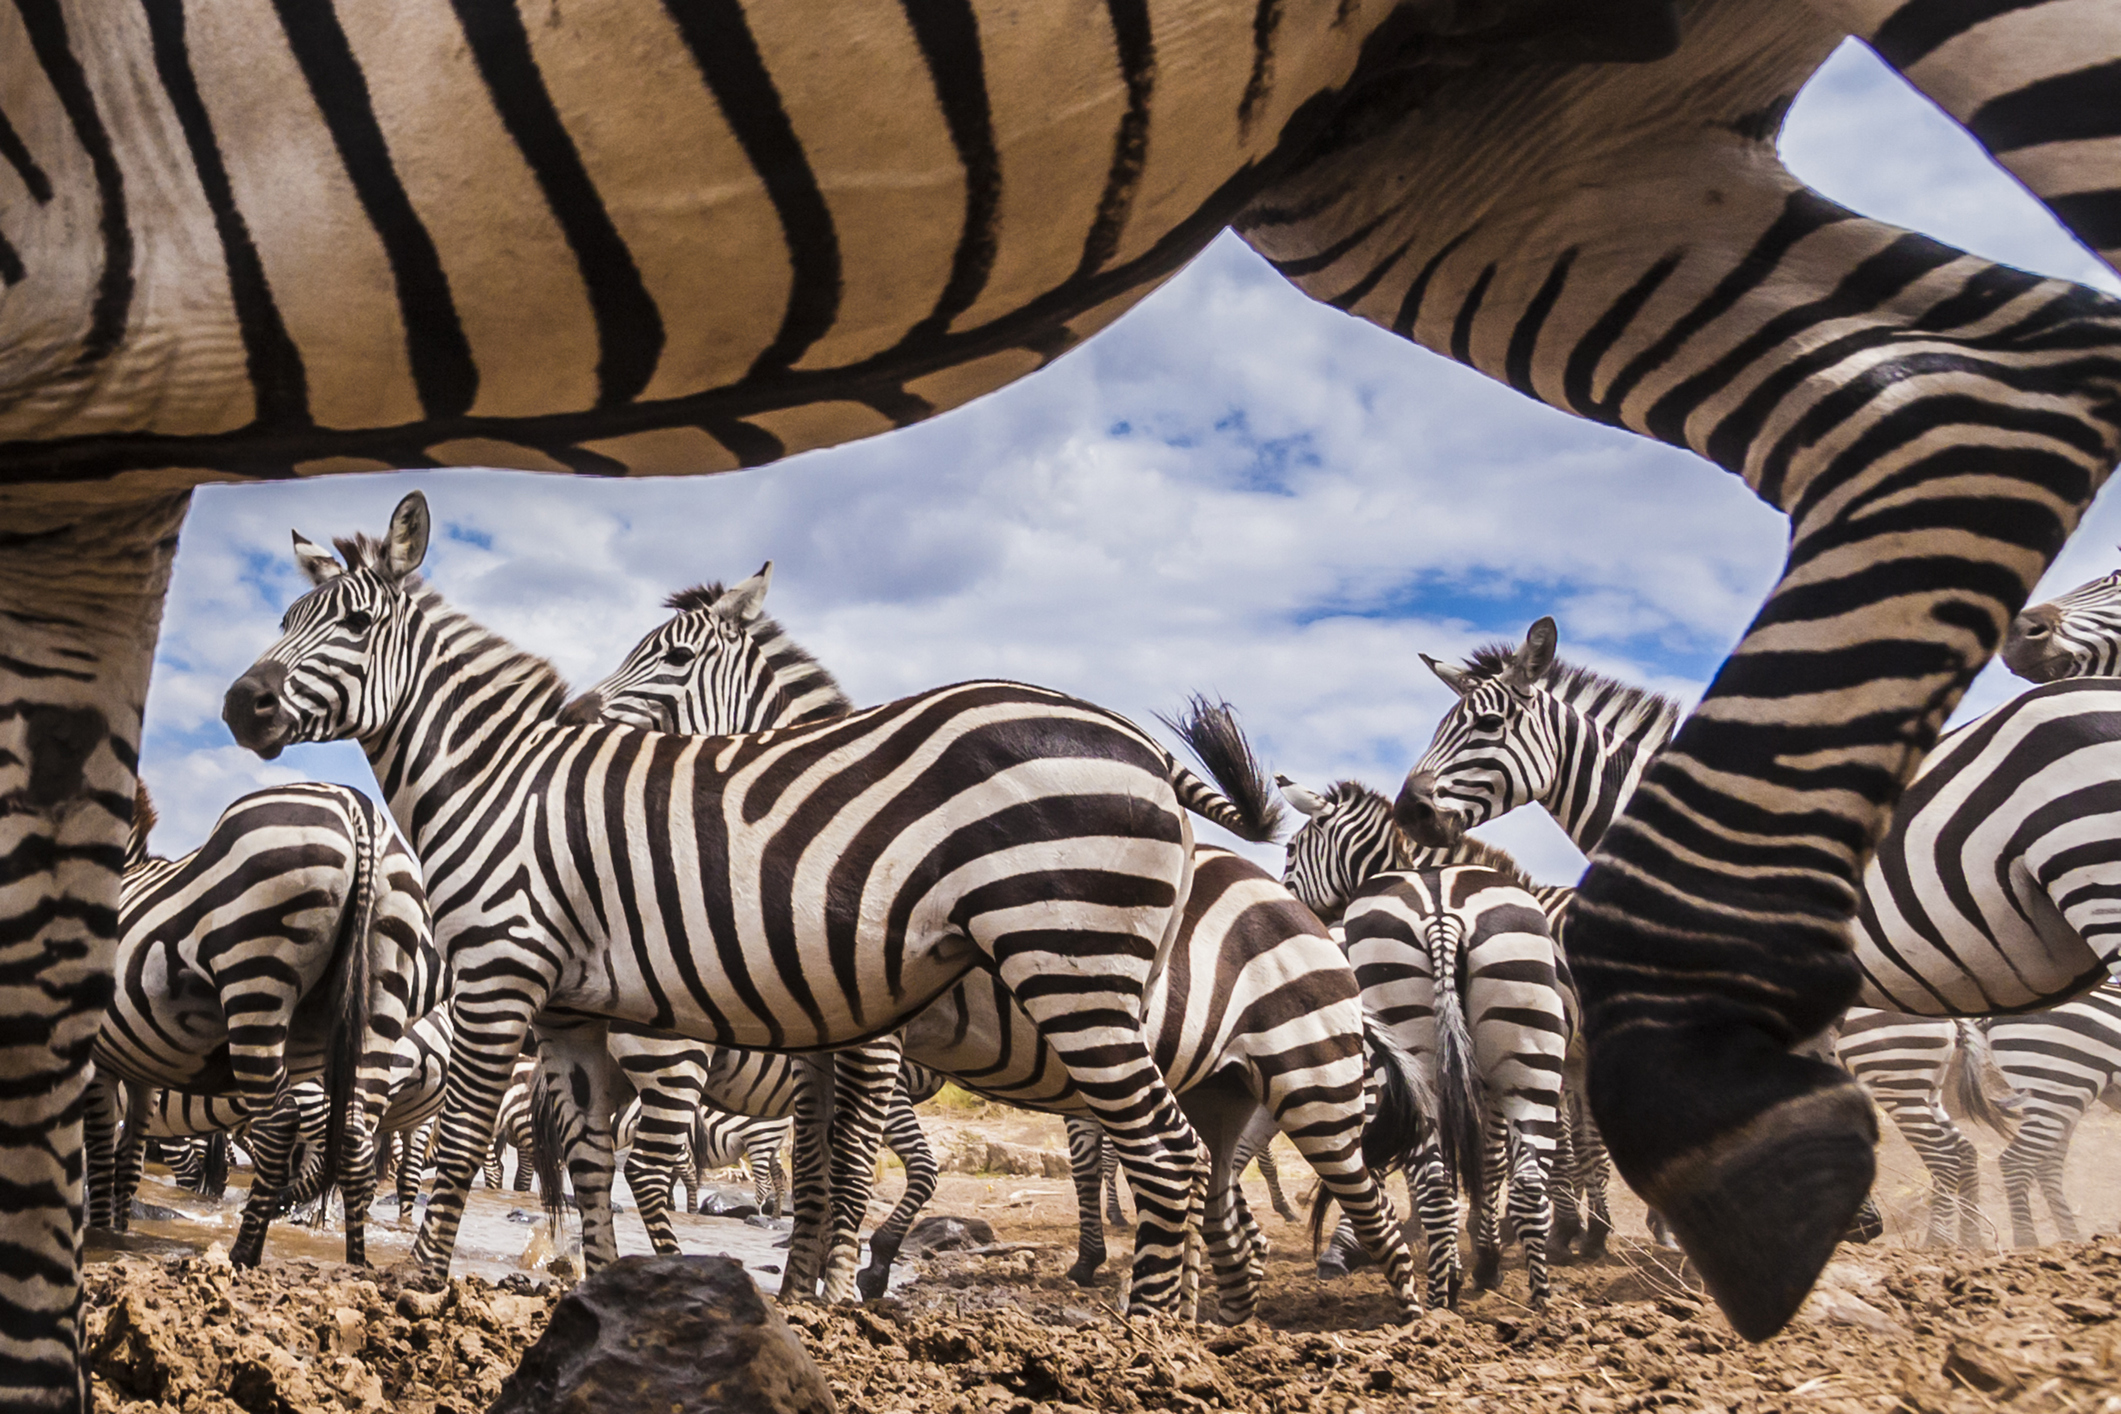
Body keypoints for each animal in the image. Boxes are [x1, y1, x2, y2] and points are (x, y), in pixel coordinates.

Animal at [91, 782, 439, 1266]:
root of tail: (360, 809)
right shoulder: (137, 1070)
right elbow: (126, 1165)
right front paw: (117, 1233)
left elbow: (100, 1160)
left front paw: (97, 1233)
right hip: (382, 994)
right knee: (354, 1138)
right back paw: (355, 1260)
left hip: (256, 978)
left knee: (279, 1127)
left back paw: (245, 1250)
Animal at [220, 492, 1296, 1313]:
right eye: (281, 625)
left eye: (356, 626)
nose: (241, 704)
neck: (505, 780)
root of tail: (1134, 739)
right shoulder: (600, 1013)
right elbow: (629, 1160)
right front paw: (682, 1291)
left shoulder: (503, 972)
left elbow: (460, 1143)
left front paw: (423, 1289)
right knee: (1200, 1167)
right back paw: (1203, 1317)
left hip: (1075, 967)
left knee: (1165, 1155)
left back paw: (1149, 1332)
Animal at [566, 568, 1427, 1319]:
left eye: (674, 658)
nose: (577, 715)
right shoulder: (820, 1043)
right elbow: (811, 1168)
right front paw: (797, 1291)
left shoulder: (877, 1039)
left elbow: (851, 1163)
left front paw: (839, 1289)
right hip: (1225, 1087)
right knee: (1231, 1221)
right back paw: (1211, 1324)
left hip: (1307, 1080)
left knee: (1362, 1203)